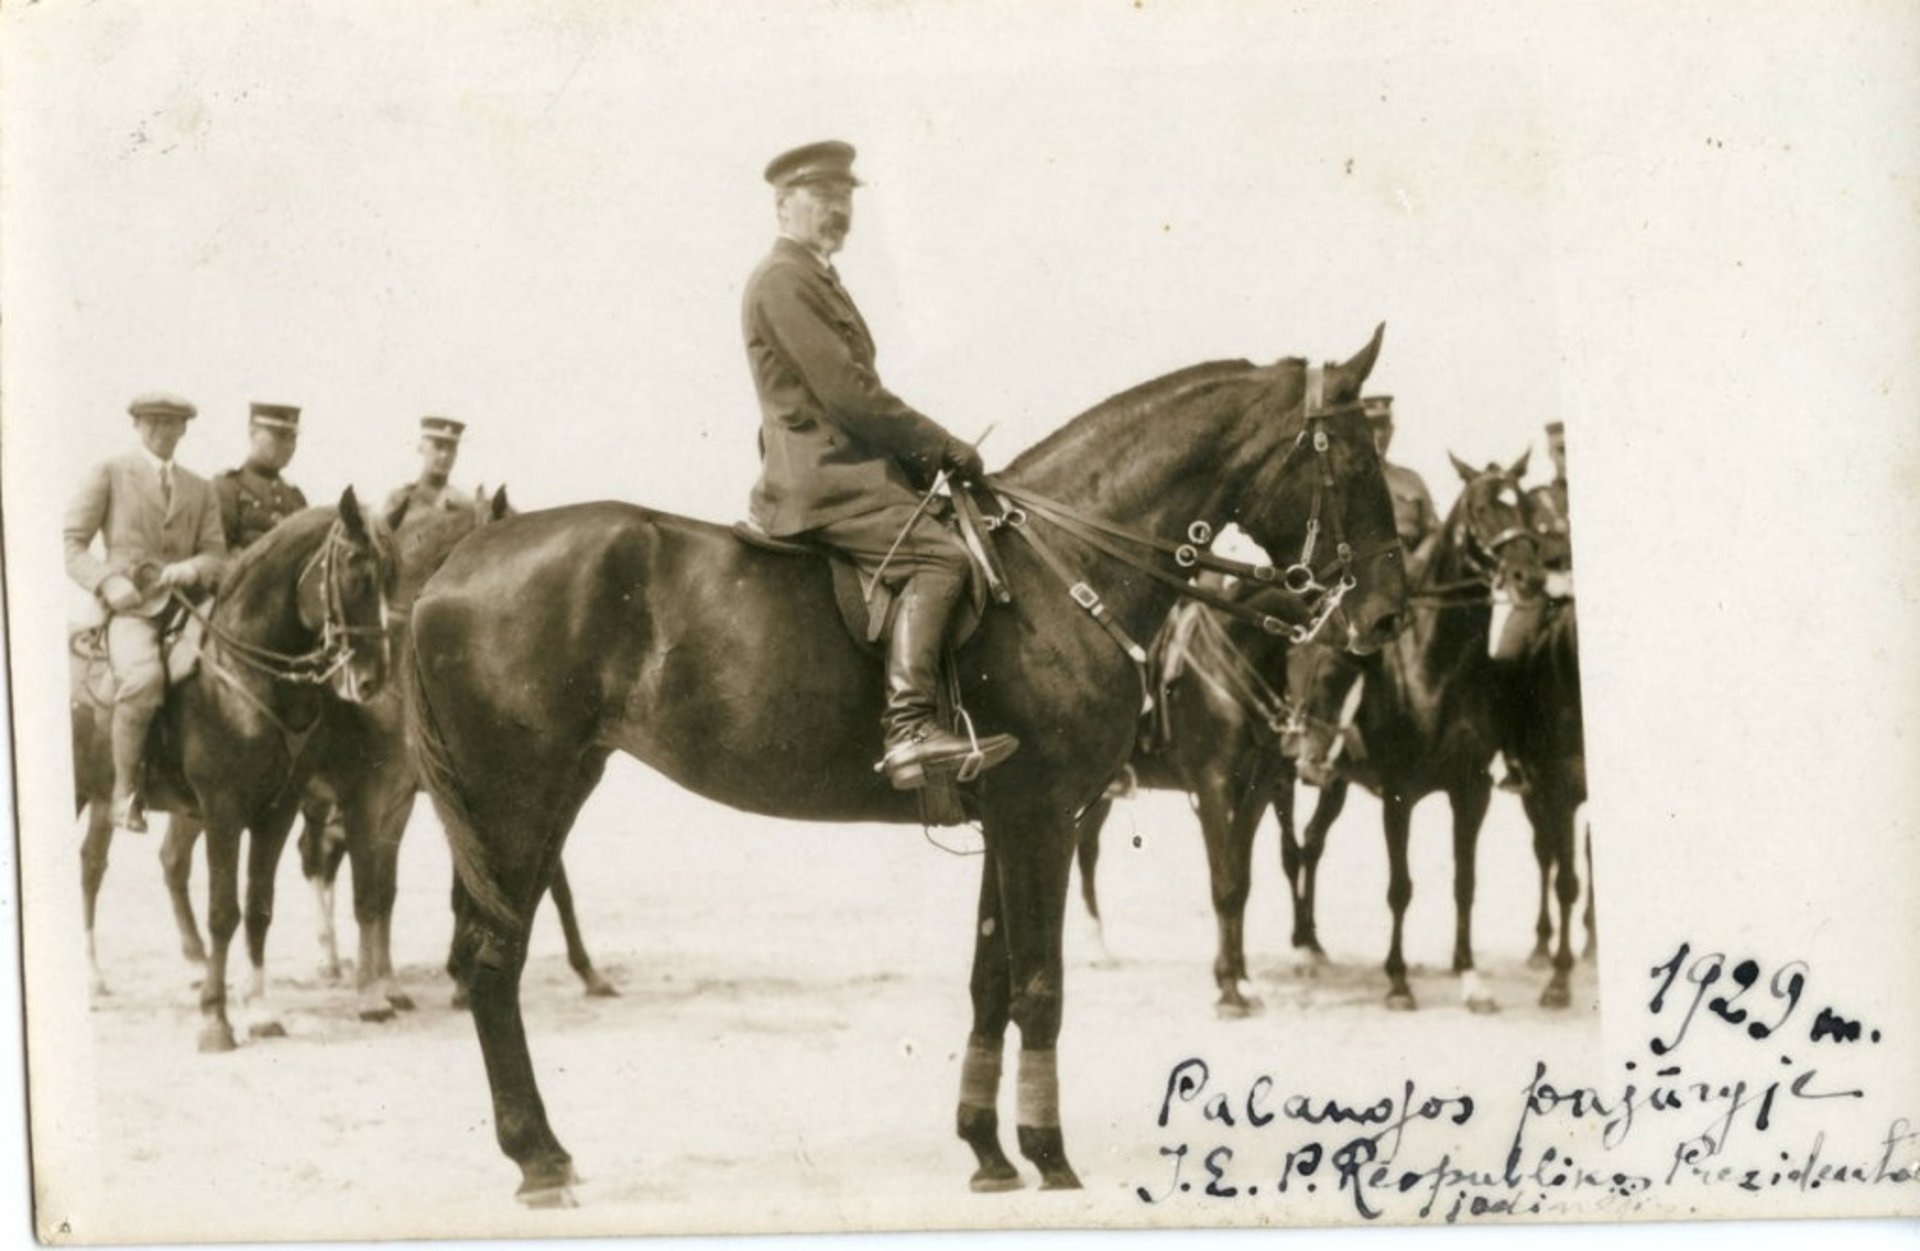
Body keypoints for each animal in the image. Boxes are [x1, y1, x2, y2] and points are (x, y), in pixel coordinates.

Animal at [408, 330, 1413, 1204]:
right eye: (1357, 463)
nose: (1389, 616)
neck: (1062, 565)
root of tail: (453, 566)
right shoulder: (1044, 818)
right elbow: (1041, 984)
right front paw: (1050, 1154)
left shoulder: (1009, 821)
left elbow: (991, 982)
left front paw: (987, 1150)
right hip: (516, 801)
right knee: (492, 963)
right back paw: (538, 1159)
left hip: (553, 792)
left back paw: (543, 1151)